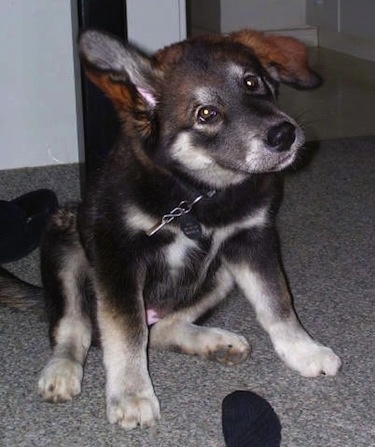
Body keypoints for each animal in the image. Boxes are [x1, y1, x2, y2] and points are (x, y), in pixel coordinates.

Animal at [0, 28, 340, 430]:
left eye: (252, 82)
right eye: (206, 113)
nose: (284, 134)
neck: (197, 195)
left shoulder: (251, 241)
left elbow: (277, 302)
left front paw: (304, 351)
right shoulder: (118, 257)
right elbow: (126, 332)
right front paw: (132, 395)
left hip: (219, 274)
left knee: (161, 329)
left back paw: (214, 342)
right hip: (63, 242)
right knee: (75, 329)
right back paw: (61, 371)